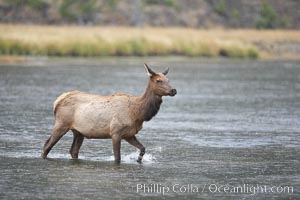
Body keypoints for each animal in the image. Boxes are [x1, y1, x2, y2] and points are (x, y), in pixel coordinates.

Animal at [40, 63, 176, 163]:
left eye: (168, 79)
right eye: (158, 80)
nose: (173, 90)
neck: (137, 113)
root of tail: (57, 101)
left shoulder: (129, 133)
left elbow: (142, 148)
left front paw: (138, 159)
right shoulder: (115, 131)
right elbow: (117, 157)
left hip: (78, 132)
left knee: (73, 150)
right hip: (61, 124)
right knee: (46, 146)